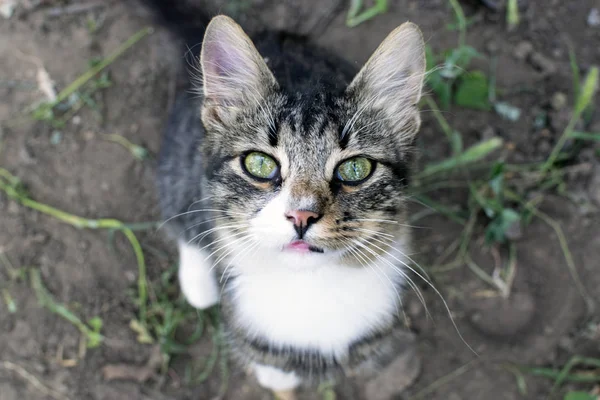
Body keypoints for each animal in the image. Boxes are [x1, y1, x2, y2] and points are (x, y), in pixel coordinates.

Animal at [145, 0, 426, 396]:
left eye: (356, 168)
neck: (308, 288)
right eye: (260, 164)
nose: (301, 215)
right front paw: (276, 376)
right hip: (181, 152)